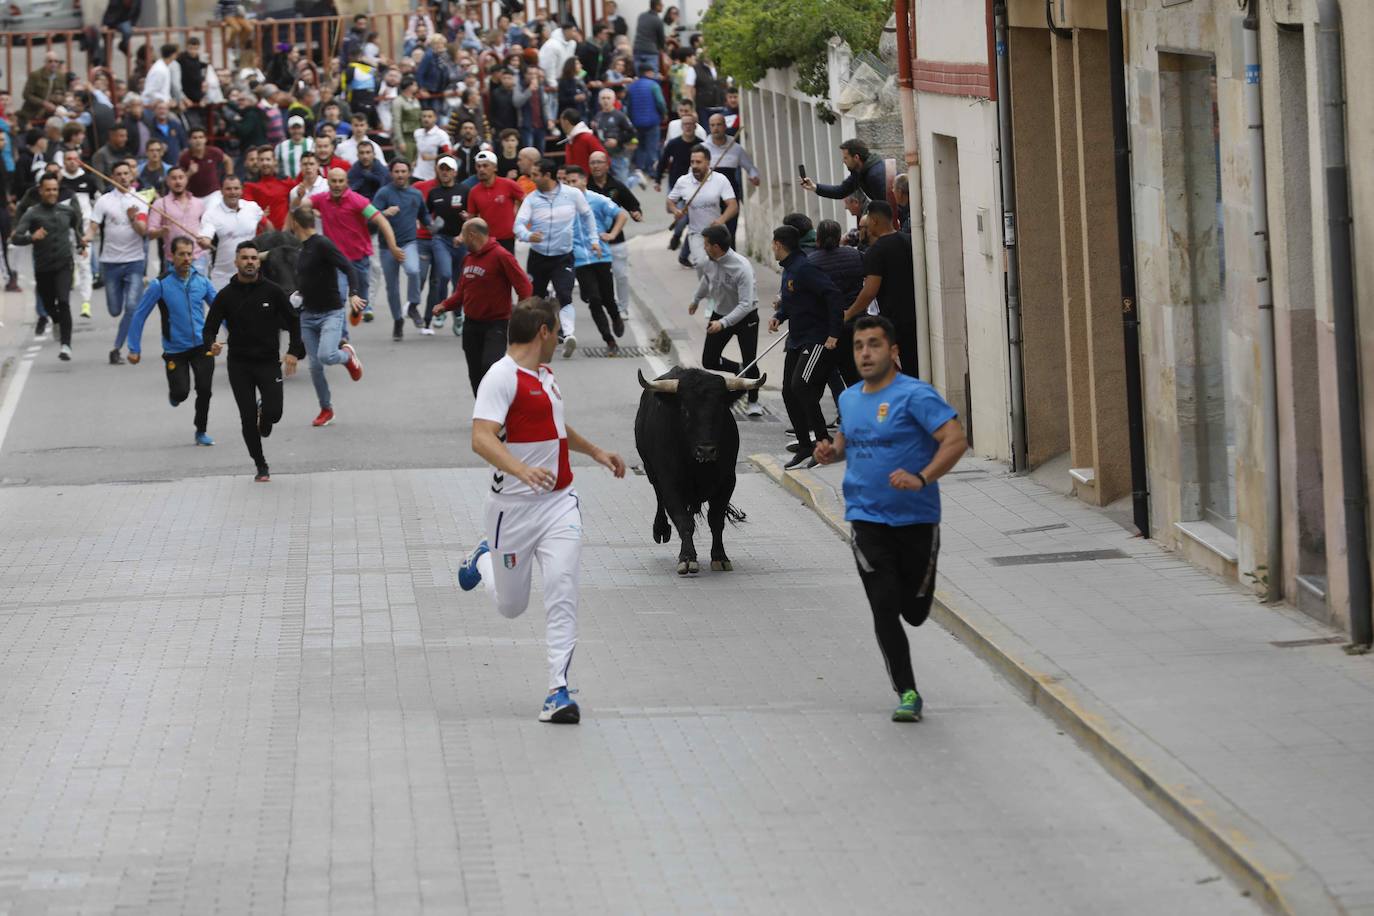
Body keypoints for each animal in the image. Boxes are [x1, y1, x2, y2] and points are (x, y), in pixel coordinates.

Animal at [634, 368, 769, 574]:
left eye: (720, 408)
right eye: (684, 410)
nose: (706, 450)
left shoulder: (728, 481)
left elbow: (716, 520)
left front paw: (720, 557)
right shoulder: (669, 482)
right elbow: (683, 520)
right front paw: (687, 558)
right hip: (651, 471)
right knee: (659, 497)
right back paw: (661, 529)